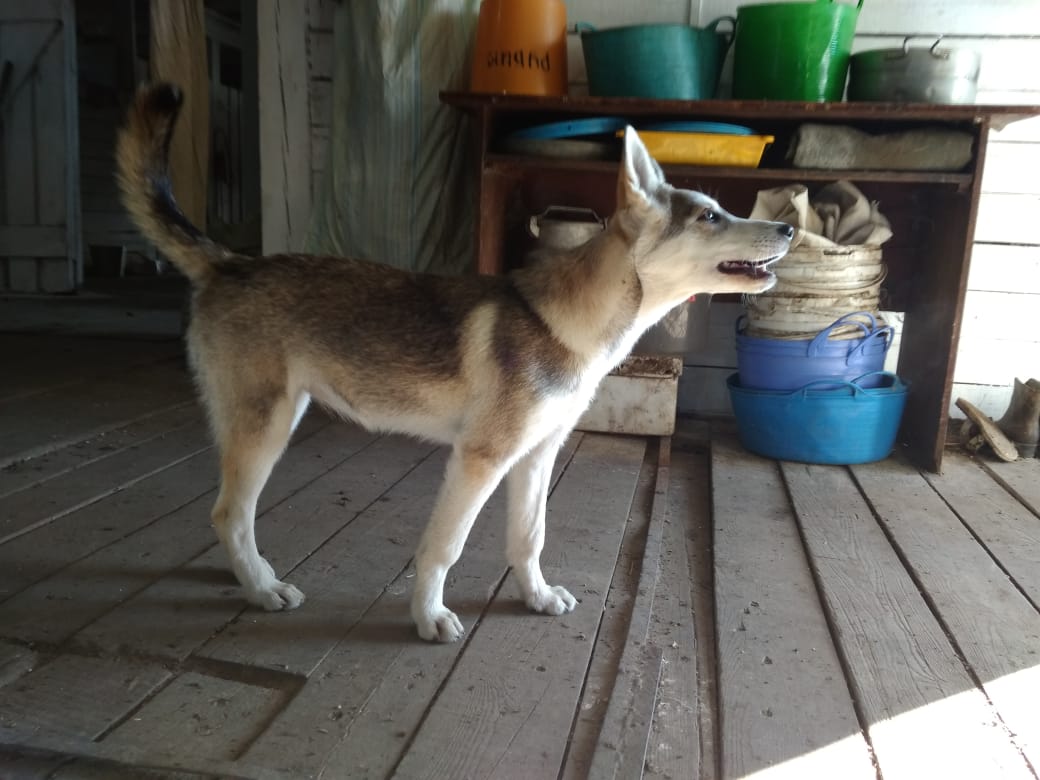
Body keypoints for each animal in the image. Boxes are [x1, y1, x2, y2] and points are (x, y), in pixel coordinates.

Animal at [115, 82, 794, 644]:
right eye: (710, 216)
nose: (789, 229)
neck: (569, 322)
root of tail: (229, 262)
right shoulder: (480, 460)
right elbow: (445, 547)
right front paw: (429, 617)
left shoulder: (536, 457)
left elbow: (529, 536)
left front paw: (536, 596)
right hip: (268, 428)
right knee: (231, 513)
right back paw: (261, 587)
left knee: (227, 513)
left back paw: (246, 573)